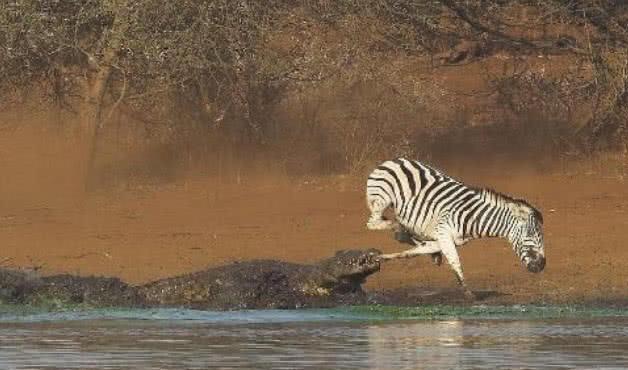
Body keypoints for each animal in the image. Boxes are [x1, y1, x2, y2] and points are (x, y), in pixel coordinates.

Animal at [366, 158, 548, 300]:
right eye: (531, 235)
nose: (541, 266)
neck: (474, 216)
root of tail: (394, 161)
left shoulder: (443, 240)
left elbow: (411, 253)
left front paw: (378, 258)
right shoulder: (444, 234)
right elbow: (455, 263)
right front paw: (469, 294)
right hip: (382, 200)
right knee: (374, 223)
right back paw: (401, 231)